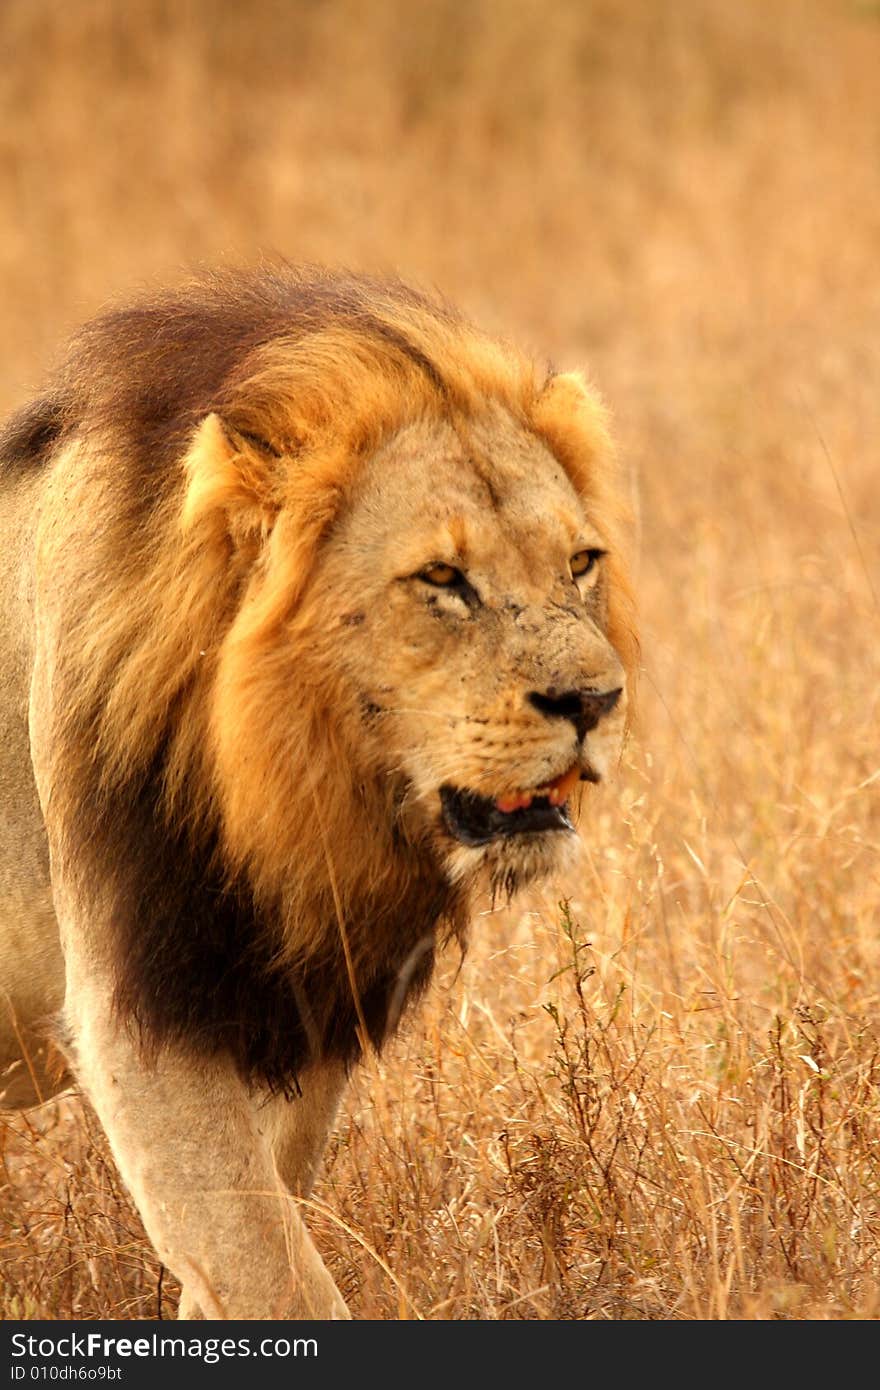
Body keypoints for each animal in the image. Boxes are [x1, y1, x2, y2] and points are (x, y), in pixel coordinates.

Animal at [0, 265, 633, 1317]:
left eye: (580, 564)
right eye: (443, 578)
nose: (593, 701)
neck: (291, 801)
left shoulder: (304, 1013)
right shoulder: (139, 1022)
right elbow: (274, 1275)